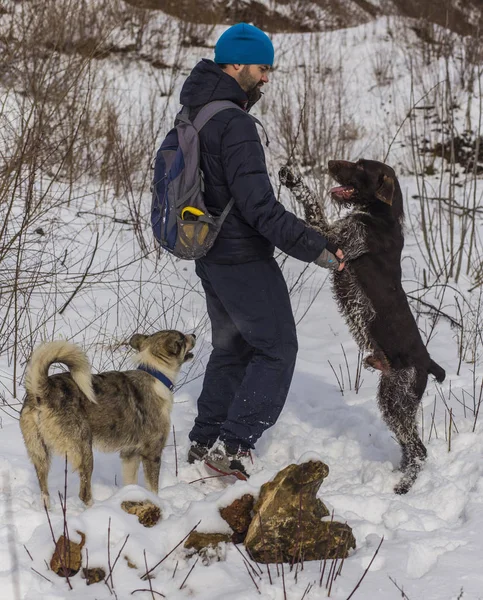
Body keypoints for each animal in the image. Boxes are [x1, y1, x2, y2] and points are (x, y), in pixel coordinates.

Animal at [19, 330, 196, 508]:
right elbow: (153, 489)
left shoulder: (129, 454)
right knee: (84, 494)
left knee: (44, 490)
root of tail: (43, 390)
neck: (156, 374)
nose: (193, 335)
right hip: (84, 451)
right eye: (182, 338)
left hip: (40, 453)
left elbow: (130, 483)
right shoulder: (152, 453)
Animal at [280, 159, 446, 492]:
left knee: (419, 449)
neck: (380, 216)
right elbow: (314, 206)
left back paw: (405, 485)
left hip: (399, 401)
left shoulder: (336, 240)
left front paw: (294, 181)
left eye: (360, 167)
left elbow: (313, 207)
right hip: (390, 397)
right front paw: (292, 178)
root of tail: (428, 363)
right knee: (408, 447)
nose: (330, 163)